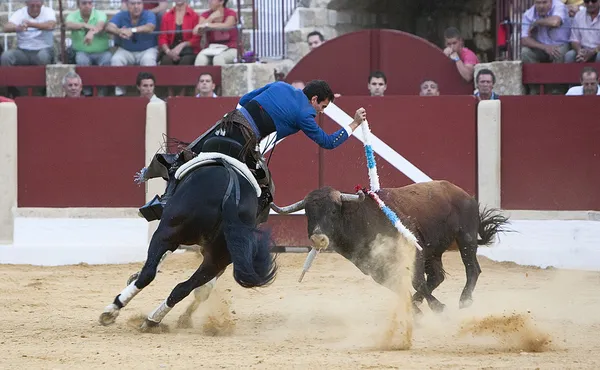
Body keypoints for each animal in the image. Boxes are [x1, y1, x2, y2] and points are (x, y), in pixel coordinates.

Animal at [97, 156, 278, 330]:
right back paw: (153, 320)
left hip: (167, 233)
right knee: (183, 287)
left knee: (149, 274)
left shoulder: (168, 234)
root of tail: (231, 192)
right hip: (217, 258)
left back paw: (113, 311)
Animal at [272, 181, 510, 314]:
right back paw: (420, 301)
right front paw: (415, 310)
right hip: (434, 251)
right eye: (307, 213)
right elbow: (396, 286)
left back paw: (464, 301)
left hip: (466, 238)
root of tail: (464, 194)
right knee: (437, 277)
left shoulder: (414, 251)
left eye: (332, 211)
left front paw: (437, 308)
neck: (361, 219)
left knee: (472, 269)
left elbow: (416, 281)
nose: (318, 238)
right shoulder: (372, 267)